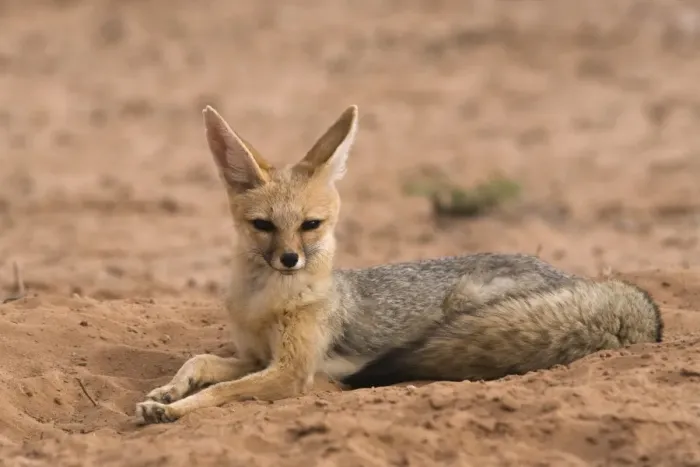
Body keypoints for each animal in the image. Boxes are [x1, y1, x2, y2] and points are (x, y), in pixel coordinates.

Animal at [135, 104, 663, 424]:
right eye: (263, 225)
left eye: (310, 225)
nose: (289, 259)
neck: (263, 303)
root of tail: (584, 281)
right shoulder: (254, 357)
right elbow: (199, 361)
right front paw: (167, 392)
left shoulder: (290, 372)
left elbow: (222, 392)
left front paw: (177, 409)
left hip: (467, 302)